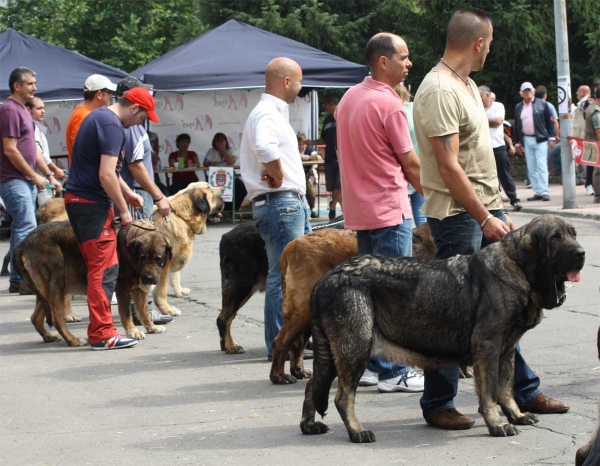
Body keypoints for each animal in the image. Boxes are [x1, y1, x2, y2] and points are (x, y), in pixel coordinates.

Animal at [14, 221, 172, 346]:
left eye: (158, 259)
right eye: (142, 257)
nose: (149, 278)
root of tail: (22, 244)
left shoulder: (138, 290)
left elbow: (143, 311)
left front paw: (151, 327)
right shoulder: (122, 289)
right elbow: (126, 313)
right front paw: (132, 331)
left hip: (45, 291)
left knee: (36, 317)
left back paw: (48, 336)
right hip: (56, 285)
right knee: (56, 318)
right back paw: (73, 340)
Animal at [272, 224, 436, 384]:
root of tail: (292, 245)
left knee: (297, 343)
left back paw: (298, 371)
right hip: (303, 307)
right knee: (281, 341)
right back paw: (278, 376)